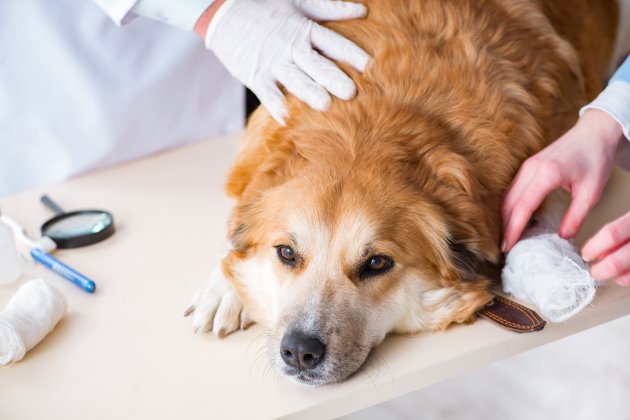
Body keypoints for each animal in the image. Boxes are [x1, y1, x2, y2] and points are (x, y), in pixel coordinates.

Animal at [185, 0, 624, 384]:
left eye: (377, 263)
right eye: (287, 253)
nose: (299, 351)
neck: (369, 126)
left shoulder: (560, 144)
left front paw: (553, 270)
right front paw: (226, 287)